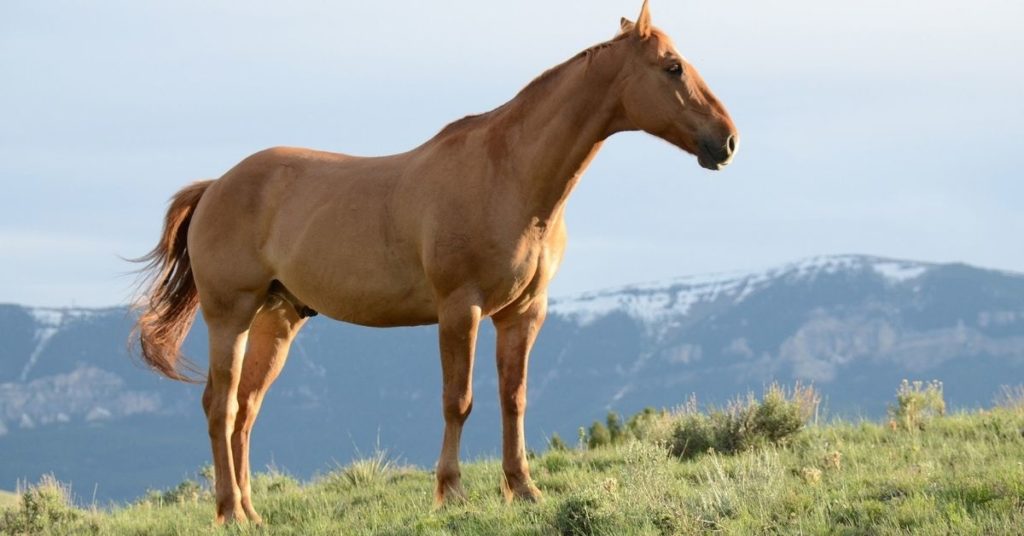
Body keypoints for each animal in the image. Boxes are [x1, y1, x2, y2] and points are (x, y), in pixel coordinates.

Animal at [133, 1, 737, 524]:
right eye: (672, 66)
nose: (727, 141)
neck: (509, 175)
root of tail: (216, 186)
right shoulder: (459, 309)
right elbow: (458, 401)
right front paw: (451, 492)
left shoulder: (524, 313)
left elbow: (513, 399)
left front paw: (523, 489)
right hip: (230, 315)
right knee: (220, 406)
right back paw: (230, 511)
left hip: (276, 320)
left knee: (246, 410)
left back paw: (251, 512)